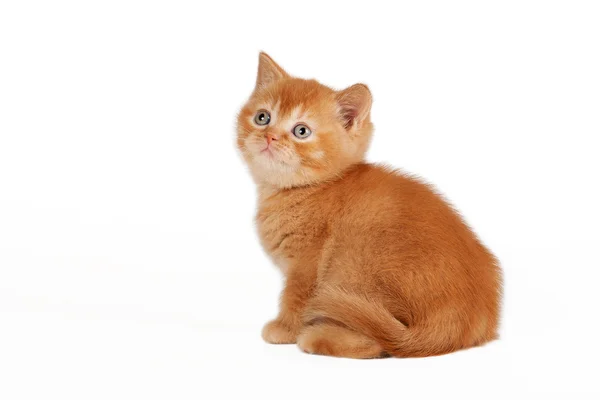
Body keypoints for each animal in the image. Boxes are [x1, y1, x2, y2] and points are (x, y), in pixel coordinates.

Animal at [234, 53, 502, 360]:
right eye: (262, 117)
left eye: (301, 131)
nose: (270, 137)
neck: (307, 190)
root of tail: (467, 319)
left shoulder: (306, 264)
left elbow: (296, 296)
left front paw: (285, 329)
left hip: (353, 261)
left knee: (378, 342)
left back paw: (316, 337)